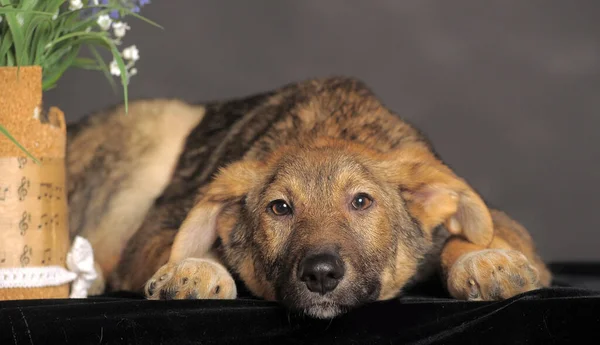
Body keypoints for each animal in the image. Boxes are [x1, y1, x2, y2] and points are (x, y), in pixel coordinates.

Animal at [68, 76, 552, 318]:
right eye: (280, 208)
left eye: (362, 202)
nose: (320, 275)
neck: (329, 127)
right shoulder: (157, 226)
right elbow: (187, 248)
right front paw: (194, 267)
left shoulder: (500, 219)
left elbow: (472, 237)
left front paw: (486, 259)